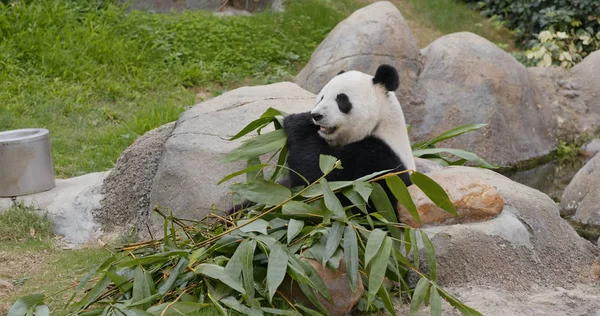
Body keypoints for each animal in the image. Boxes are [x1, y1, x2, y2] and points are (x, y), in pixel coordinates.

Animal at [284, 63, 414, 209]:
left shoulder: (381, 165)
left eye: (342, 99)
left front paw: (298, 121)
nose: (316, 115)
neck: (379, 125)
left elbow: (320, 181)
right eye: (322, 97)